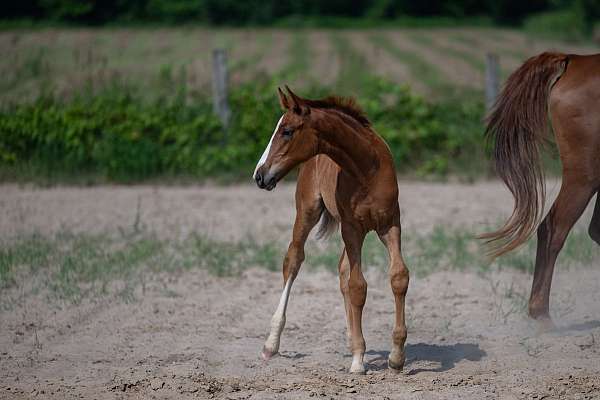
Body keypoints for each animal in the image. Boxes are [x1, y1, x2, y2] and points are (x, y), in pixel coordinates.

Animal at [251, 86, 410, 374]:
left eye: (287, 131)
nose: (259, 175)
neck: (367, 169)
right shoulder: (352, 228)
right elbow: (358, 286)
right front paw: (358, 360)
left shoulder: (390, 224)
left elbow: (398, 277)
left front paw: (396, 357)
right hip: (308, 211)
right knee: (294, 260)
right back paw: (271, 344)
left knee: (342, 269)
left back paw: (351, 338)